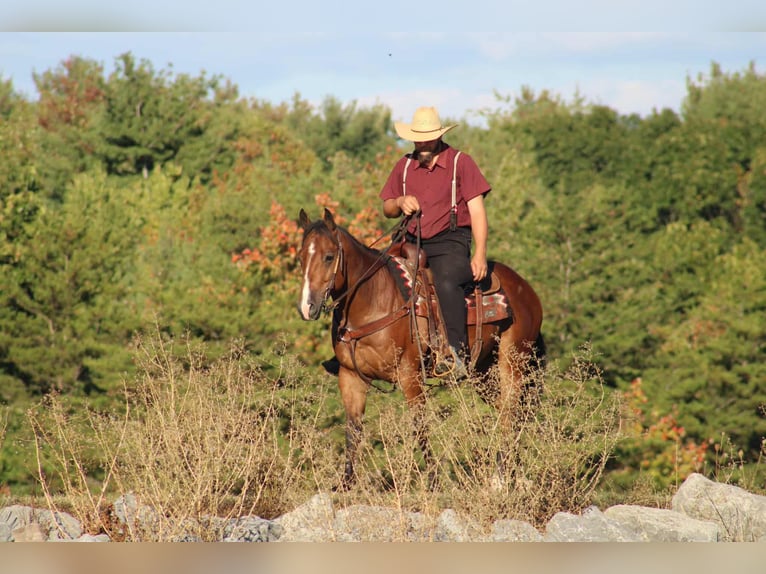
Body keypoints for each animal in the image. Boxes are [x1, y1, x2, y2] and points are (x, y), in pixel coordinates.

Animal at [297, 208, 544, 489]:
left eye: (329, 256)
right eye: (301, 257)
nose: (307, 307)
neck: (374, 301)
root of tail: (527, 291)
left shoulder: (410, 376)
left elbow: (420, 427)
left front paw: (434, 480)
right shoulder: (350, 377)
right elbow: (353, 430)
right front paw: (345, 485)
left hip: (512, 363)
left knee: (511, 413)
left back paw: (500, 477)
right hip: (484, 373)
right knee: (511, 411)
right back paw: (515, 472)